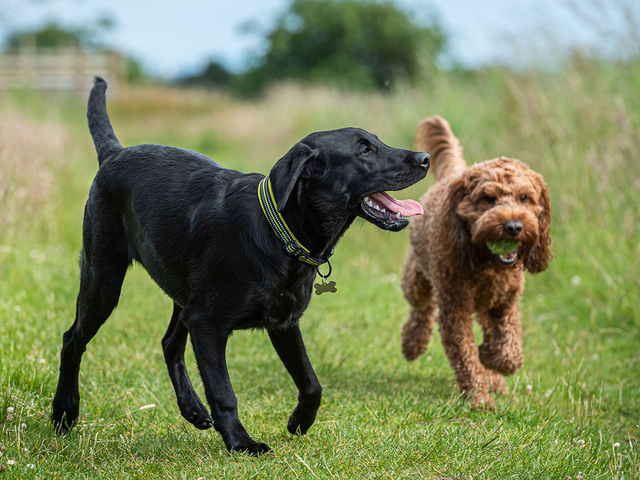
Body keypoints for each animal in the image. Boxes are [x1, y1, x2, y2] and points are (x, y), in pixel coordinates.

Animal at [51, 78, 430, 454]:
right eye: (364, 151)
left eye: (378, 141)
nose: (425, 157)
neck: (279, 233)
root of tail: (114, 153)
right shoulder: (207, 324)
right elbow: (224, 392)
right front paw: (241, 442)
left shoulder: (283, 322)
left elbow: (312, 384)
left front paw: (298, 422)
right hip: (104, 281)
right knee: (73, 339)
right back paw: (64, 412)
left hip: (181, 296)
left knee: (169, 343)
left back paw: (192, 409)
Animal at [402, 114, 552, 406]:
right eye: (488, 198)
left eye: (524, 197)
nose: (513, 227)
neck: (488, 264)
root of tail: (455, 173)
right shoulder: (454, 309)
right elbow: (466, 355)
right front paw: (479, 398)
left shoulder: (506, 304)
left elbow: (510, 354)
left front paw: (489, 360)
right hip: (417, 278)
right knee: (422, 306)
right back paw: (413, 343)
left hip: (485, 306)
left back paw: (496, 381)